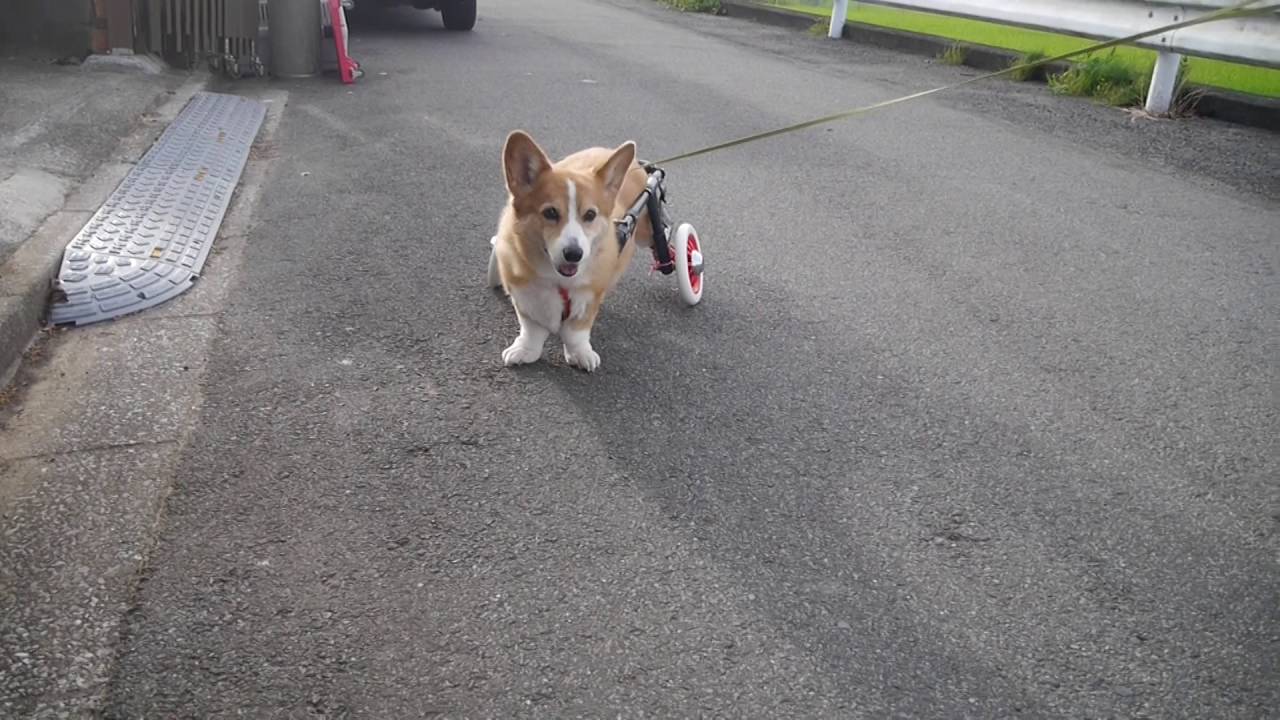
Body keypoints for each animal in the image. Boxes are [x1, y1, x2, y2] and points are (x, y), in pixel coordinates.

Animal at [486, 129, 650, 371]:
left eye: (590, 215)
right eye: (550, 212)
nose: (574, 254)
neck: (558, 279)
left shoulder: (591, 294)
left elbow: (576, 331)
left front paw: (580, 354)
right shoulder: (524, 291)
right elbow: (531, 328)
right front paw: (525, 350)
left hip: (648, 231)